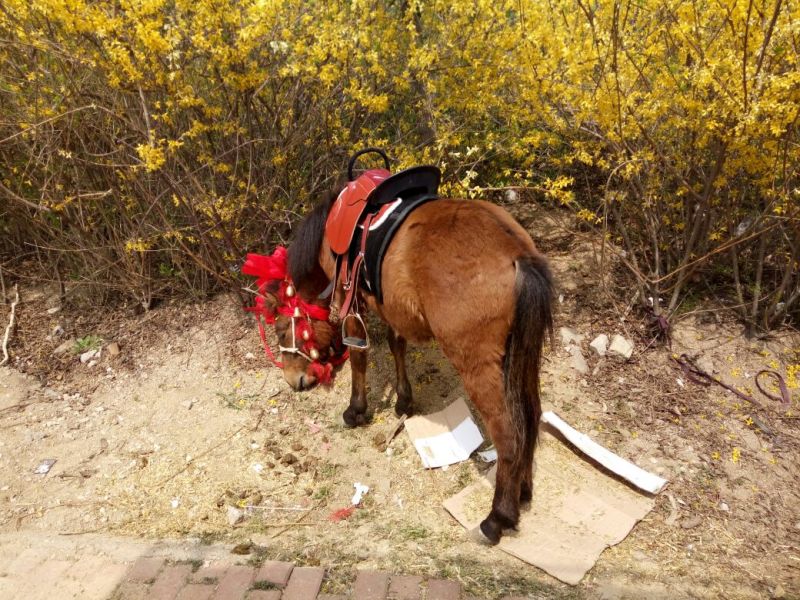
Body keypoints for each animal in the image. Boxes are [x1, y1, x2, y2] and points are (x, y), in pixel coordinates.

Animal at [250, 192, 553, 544]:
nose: (293, 380)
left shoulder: (349, 296)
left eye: (281, 331)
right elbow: (397, 344)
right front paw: (403, 400)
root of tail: (516, 254)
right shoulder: (389, 303)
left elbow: (359, 356)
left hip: (479, 366)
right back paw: (522, 491)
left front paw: (356, 409)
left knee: (509, 436)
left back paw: (497, 518)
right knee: (531, 417)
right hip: (523, 357)